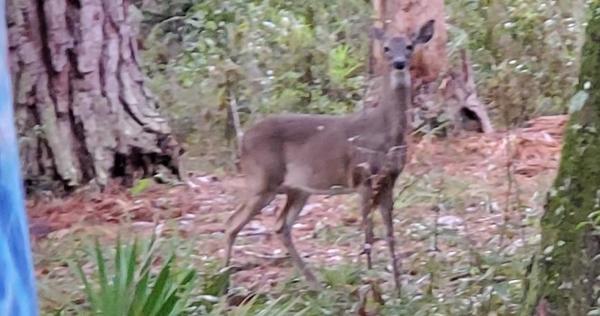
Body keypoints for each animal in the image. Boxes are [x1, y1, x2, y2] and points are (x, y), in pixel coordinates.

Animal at [223, 19, 434, 292]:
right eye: (386, 48)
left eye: (409, 46)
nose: (399, 62)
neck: (385, 132)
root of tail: (242, 140)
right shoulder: (362, 176)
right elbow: (368, 235)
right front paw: (372, 286)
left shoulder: (389, 180)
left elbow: (390, 235)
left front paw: (398, 291)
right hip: (262, 179)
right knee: (232, 223)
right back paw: (222, 285)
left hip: (297, 188)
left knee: (281, 225)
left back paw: (316, 286)